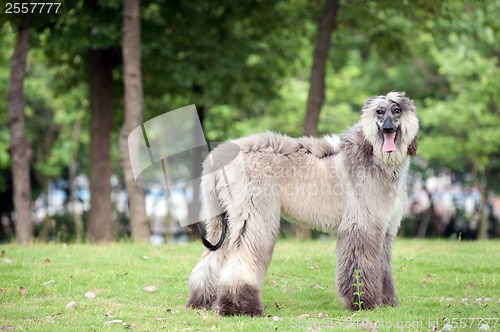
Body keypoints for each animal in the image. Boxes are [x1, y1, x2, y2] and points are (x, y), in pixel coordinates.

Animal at [187, 91, 418, 316]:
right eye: (379, 111)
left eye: (397, 110)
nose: (388, 128)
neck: (373, 155)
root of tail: (217, 158)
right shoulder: (361, 224)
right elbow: (361, 265)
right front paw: (363, 302)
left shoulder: (385, 229)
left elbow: (383, 265)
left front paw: (387, 301)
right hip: (252, 213)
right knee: (242, 256)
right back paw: (240, 306)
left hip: (220, 217)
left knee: (210, 259)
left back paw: (202, 301)